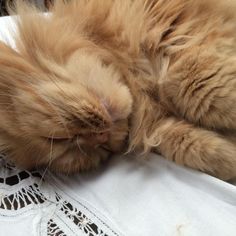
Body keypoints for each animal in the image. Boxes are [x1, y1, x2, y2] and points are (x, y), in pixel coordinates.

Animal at [0, 0, 235, 179]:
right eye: (99, 150)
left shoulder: (173, 32)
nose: (101, 138)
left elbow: (192, 88)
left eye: (56, 138)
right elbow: (190, 145)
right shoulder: (161, 128)